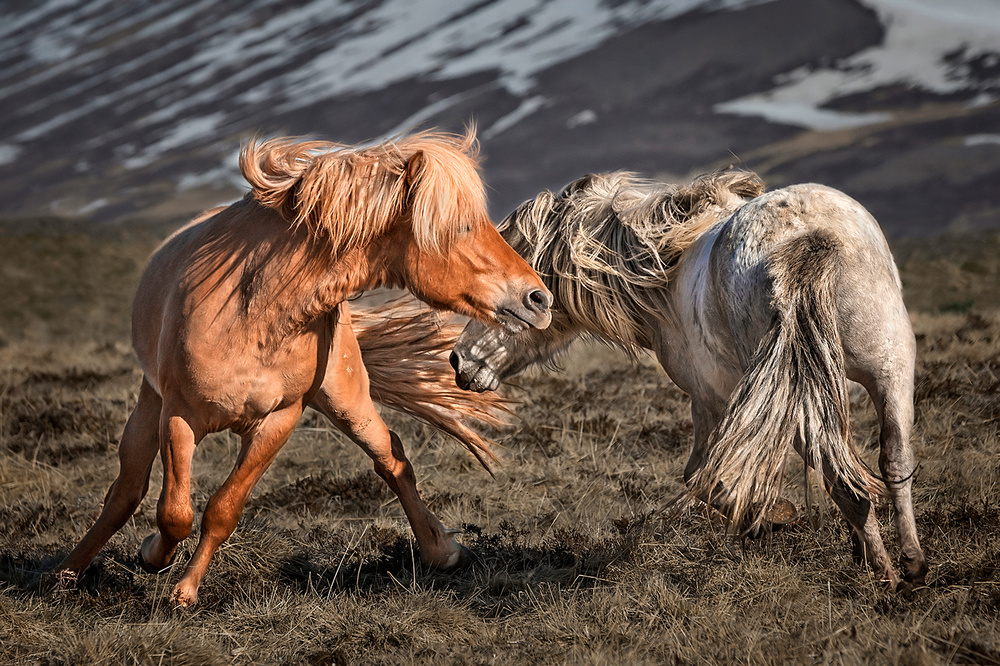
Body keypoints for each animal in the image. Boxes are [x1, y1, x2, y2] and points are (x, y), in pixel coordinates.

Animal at [52, 131, 556, 608]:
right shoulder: (178, 415)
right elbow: (174, 513)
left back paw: (442, 552)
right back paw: (67, 574)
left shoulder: (280, 418)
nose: (539, 298)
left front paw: (185, 590)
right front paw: (154, 558)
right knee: (126, 490)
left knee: (390, 456)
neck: (253, 313)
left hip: (345, 399)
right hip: (149, 401)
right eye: (462, 227)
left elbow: (222, 509)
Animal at [450, 170, 924, 588]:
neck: (663, 271)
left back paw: (883, 575)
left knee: (847, 483)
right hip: (888, 369)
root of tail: (807, 236)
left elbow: (703, 477)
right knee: (892, 461)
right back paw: (910, 566)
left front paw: (773, 517)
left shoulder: (710, 398)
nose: (458, 360)